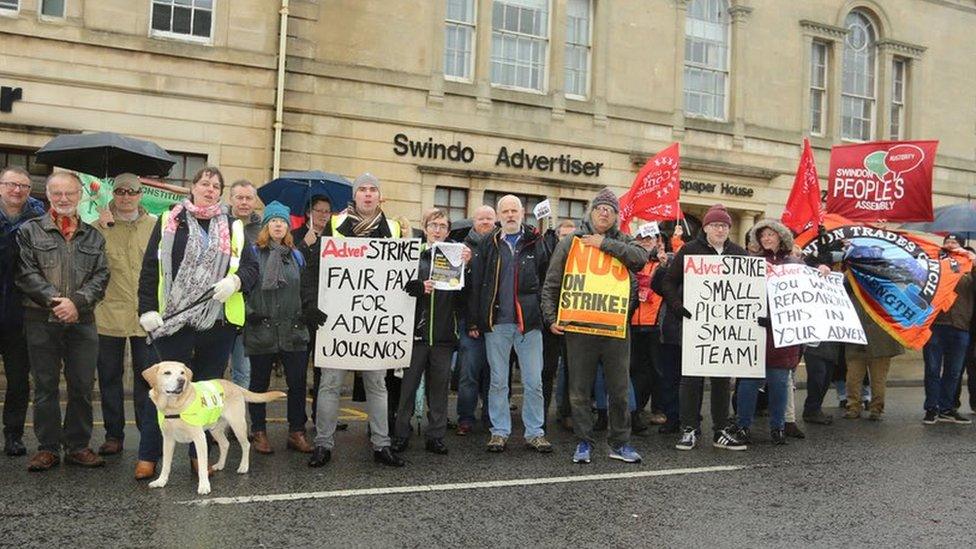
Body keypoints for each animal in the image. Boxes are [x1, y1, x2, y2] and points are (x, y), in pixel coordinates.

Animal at [144, 362, 286, 494]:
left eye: (182, 373)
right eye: (167, 373)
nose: (182, 381)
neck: (173, 407)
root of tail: (235, 385)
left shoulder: (199, 438)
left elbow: (202, 466)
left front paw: (204, 486)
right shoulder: (168, 440)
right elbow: (166, 465)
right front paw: (161, 481)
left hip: (238, 425)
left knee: (246, 445)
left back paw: (244, 466)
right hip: (215, 429)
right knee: (225, 444)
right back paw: (220, 465)